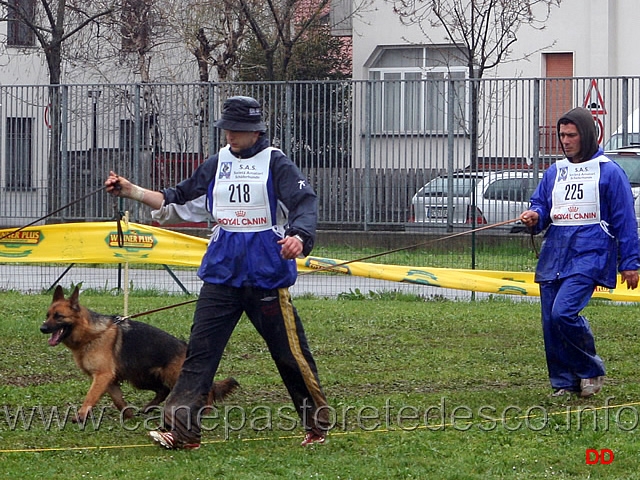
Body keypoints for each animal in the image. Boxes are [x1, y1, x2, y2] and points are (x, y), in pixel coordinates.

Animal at [40, 286, 240, 422]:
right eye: (47, 315)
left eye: (59, 316)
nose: (42, 328)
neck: (92, 334)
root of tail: (185, 347)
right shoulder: (109, 380)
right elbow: (118, 401)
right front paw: (128, 415)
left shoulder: (102, 376)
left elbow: (90, 397)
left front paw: (81, 416)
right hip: (141, 378)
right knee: (163, 390)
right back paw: (148, 408)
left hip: (172, 377)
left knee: (204, 391)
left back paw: (205, 410)